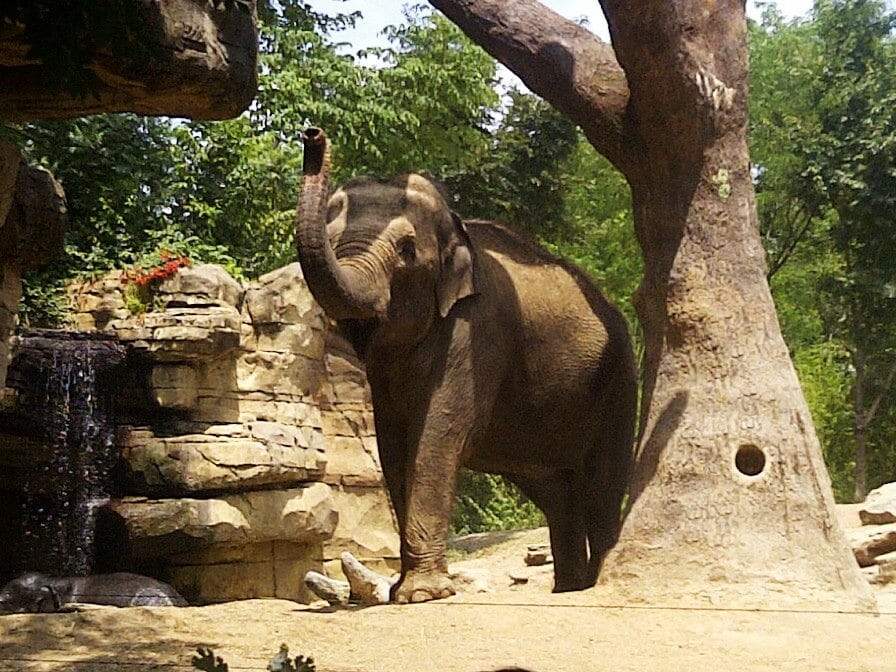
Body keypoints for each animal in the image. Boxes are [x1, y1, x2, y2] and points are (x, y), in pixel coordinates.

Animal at [296, 130, 636, 604]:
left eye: (406, 251)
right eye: (331, 235)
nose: (313, 137)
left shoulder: (477, 330)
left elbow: (438, 433)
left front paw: (422, 595)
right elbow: (394, 445)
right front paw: (404, 591)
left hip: (618, 380)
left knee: (600, 487)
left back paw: (593, 581)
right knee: (555, 493)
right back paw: (570, 588)